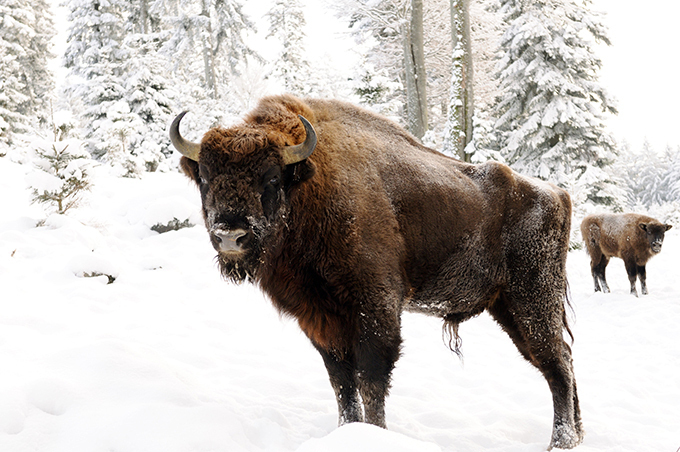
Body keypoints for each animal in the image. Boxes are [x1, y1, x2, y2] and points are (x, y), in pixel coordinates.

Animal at [170, 95, 584, 448]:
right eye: (205, 176)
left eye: (271, 177)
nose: (230, 235)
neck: (312, 185)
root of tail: (558, 194)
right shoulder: (320, 317)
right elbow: (341, 381)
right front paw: (346, 430)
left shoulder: (375, 307)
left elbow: (370, 380)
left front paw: (375, 433)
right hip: (508, 307)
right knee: (559, 359)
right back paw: (577, 435)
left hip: (532, 300)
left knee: (556, 363)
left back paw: (561, 441)